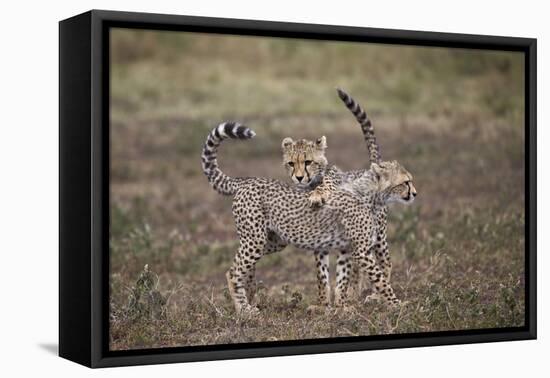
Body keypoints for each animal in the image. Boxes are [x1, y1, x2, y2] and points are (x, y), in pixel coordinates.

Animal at [201, 121, 416, 314]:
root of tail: (245, 180)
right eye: (405, 182)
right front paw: (397, 304)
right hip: (255, 239)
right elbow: (380, 281)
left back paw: (250, 292)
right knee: (232, 272)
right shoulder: (361, 251)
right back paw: (244, 310)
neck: (369, 194)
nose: (414, 193)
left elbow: (342, 279)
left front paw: (341, 307)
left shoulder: (347, 248)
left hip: (273, 241)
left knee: (242, 266)